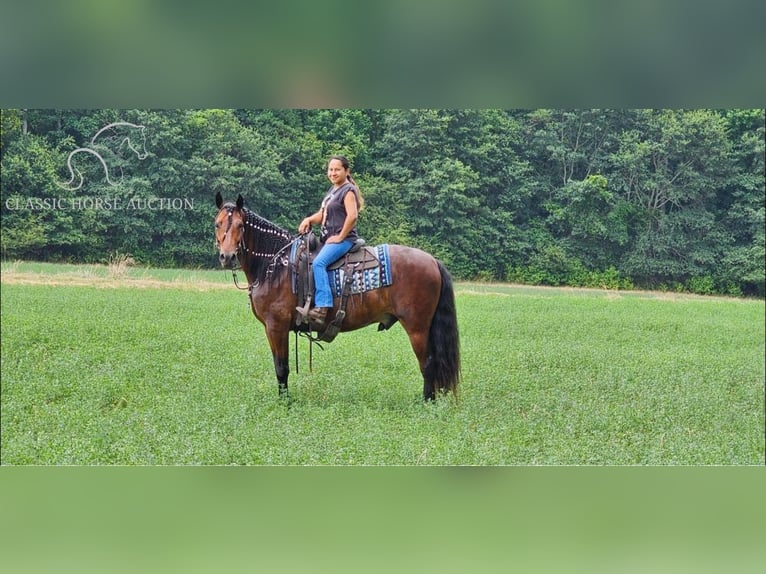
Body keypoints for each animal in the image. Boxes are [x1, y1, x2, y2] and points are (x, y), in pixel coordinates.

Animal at [214, 194, 462, 400]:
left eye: (240, 225)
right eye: (217, 223)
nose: (227, 256)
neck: (275, 266)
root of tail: (432, 260)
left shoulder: (277, 326)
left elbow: (281, 368)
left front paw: (285, 403)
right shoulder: (272, 328)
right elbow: (279, 365)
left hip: (417, 327)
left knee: (428, 364)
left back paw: (427, 403)